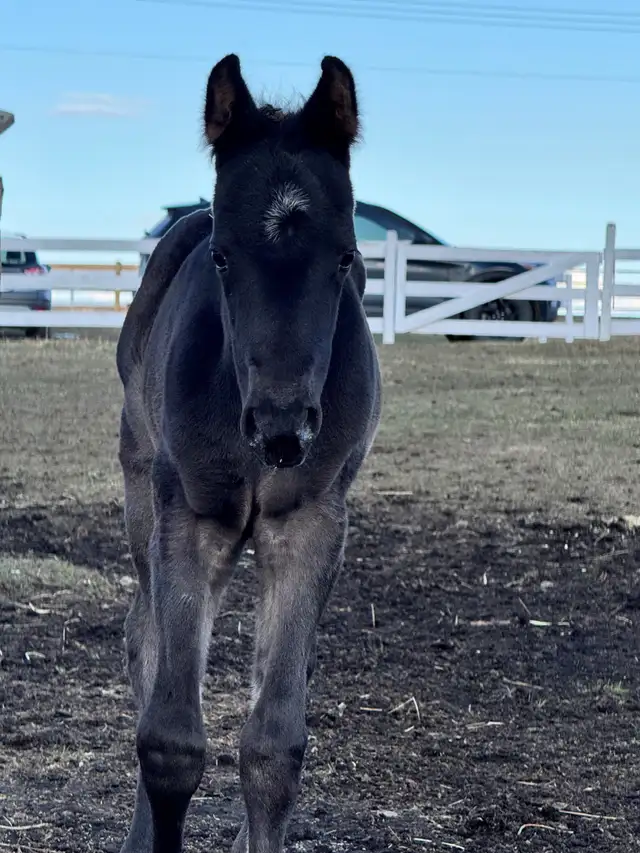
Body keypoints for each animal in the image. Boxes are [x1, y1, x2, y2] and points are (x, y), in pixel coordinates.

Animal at [115, 53, 382, 853]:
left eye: (346, 258)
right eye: (224, 258)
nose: (283, 427)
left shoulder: (309, 524)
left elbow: (274, 745)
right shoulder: (190, 516)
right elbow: (170, 740)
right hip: (141, 495)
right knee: (143, 642)